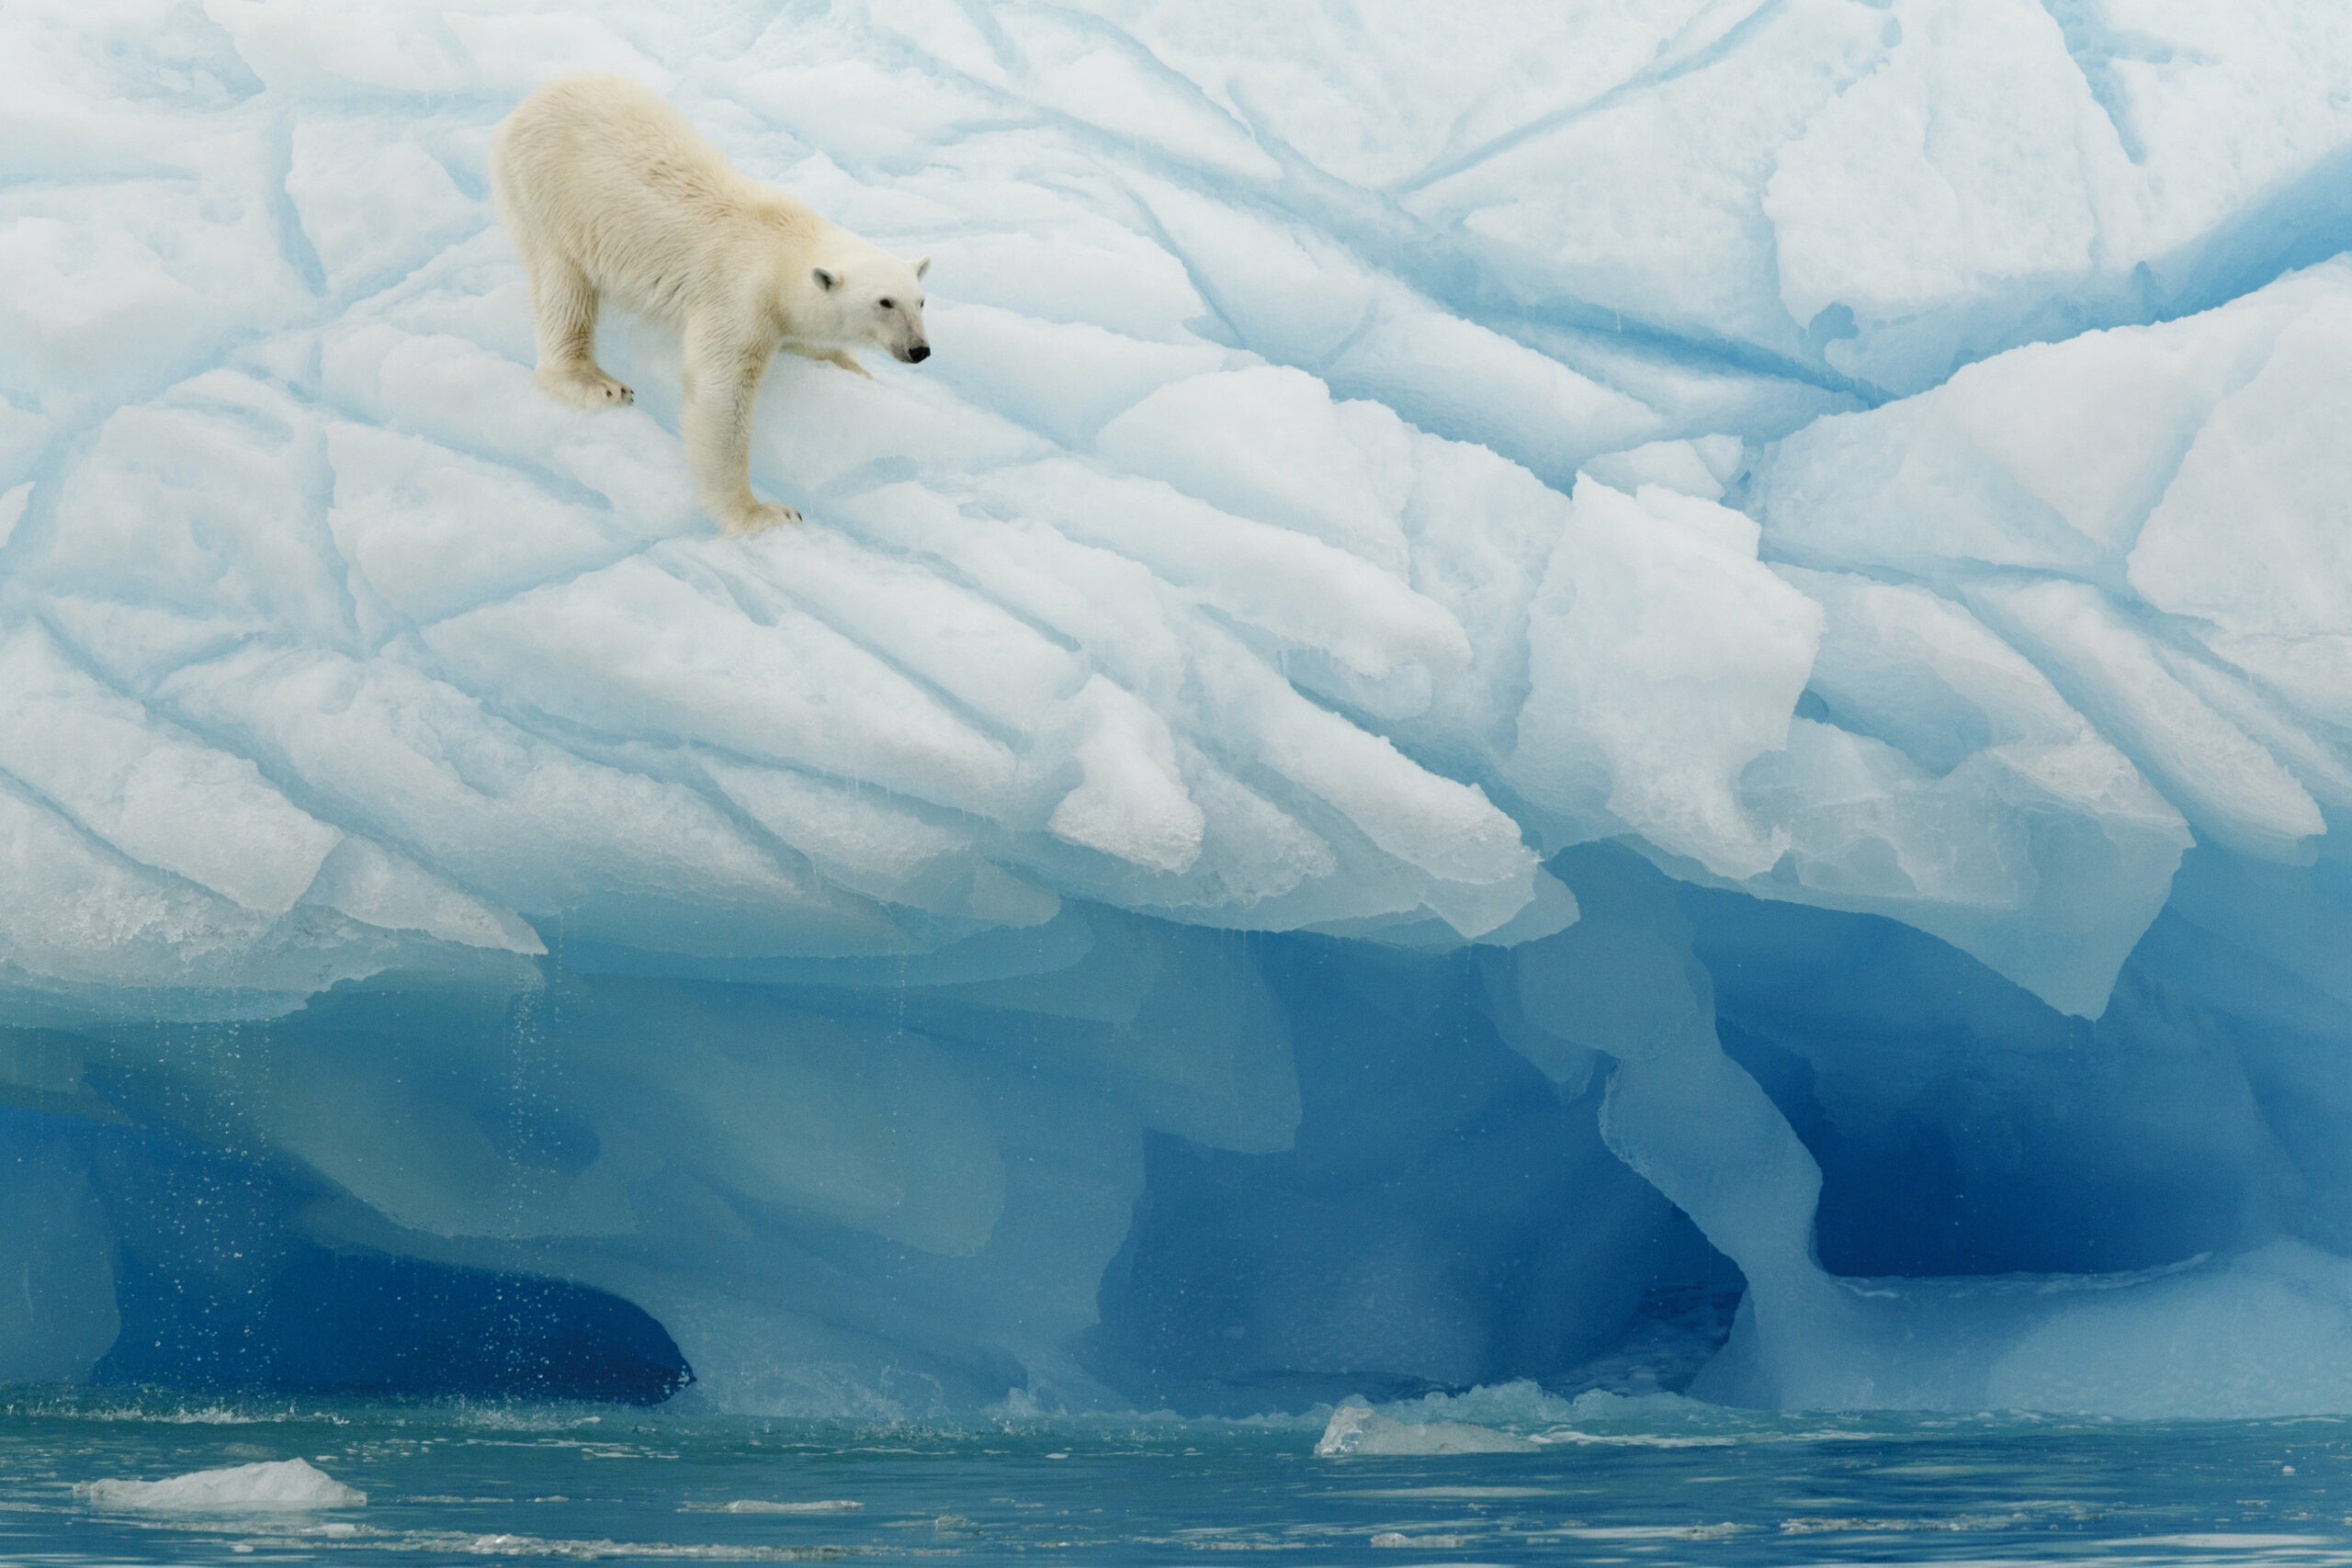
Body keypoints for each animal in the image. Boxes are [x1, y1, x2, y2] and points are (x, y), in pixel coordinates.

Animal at [492, 73, 931, 533]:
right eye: (884, 302)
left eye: (921, 301)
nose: (920, 350)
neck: (784, 244)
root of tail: (526, 106)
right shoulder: (740, 296)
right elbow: (721, 392)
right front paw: (764, 512)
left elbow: (810, 341)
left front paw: (858, 372)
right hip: (549, 197)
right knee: (563, 285)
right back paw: (598, 382)